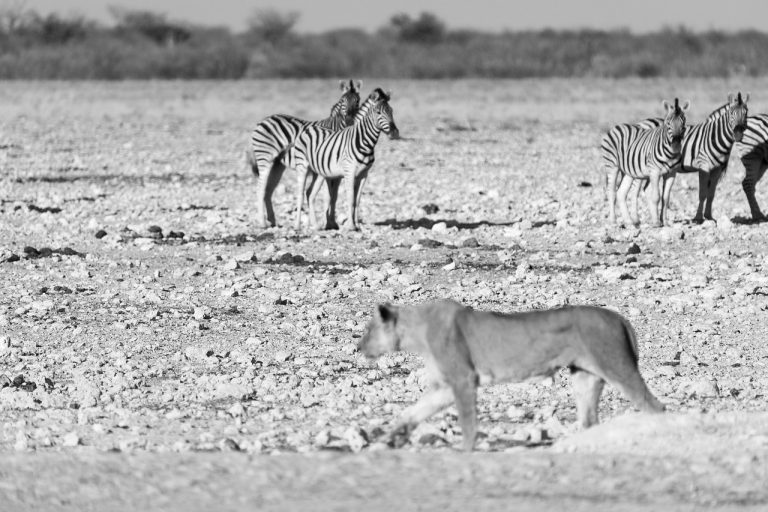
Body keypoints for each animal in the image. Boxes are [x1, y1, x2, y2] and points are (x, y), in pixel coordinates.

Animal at [247, 80, 362, 228]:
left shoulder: (337, 173)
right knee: (260, 188)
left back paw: (272, 221)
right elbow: (328, 196)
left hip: (277, 165)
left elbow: (334, 196)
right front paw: (328, 223)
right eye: (343, 101)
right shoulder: (327, 167)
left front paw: (332, 223)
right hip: (264, 158)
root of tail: (264, 120)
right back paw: (262, 223)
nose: (349, 120)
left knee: (268, 191)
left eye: (357, 101)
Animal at [283, 88, 399, 232]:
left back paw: (315, 226)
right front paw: (350, 226)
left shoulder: (363, 175)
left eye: (392, 111)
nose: (395, 133)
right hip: (302, 167)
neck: (364, 142)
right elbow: (349, 198)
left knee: (310, 194)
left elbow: (357, 200)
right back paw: (297, 225)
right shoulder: (349, 172)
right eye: (378, 112)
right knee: (300, 194)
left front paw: (357, 225)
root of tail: (308, 129)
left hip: (319, 173)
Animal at [357, 299, 665, 451]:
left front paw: (464, 451)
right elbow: (411, 412)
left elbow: (467, 422)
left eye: (369, 329)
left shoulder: (463, 379)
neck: (417, 332)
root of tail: (620, 318)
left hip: (616, 365)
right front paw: (389, 438)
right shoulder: (445, 387)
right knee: (590, 420)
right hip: (585, 376)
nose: (358, 347)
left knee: (654, 406)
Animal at [602, 98, 689, 228]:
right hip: (612, 165)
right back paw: (613, 221)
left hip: (628, 171)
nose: (676, 143)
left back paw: (629, 222)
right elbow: (656, 196)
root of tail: (616, 126)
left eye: (683, 122)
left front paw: (665, 221)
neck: (671, 154)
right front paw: (656, 222)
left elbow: (666, 198)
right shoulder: (654, 171)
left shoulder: (672, 174)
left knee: (621, 193)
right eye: (668, 123)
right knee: (611, 192)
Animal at [625, 93, 749, 223]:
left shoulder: (717, 169)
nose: (738, 134)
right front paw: (698, 218)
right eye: (731, 113)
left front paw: (709, 216)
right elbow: (703, 193)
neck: (714, 136)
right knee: (635, 191)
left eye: (746, 112)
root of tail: (641, 122)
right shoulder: (703, 166)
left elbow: (711, 194)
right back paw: (636, 219)